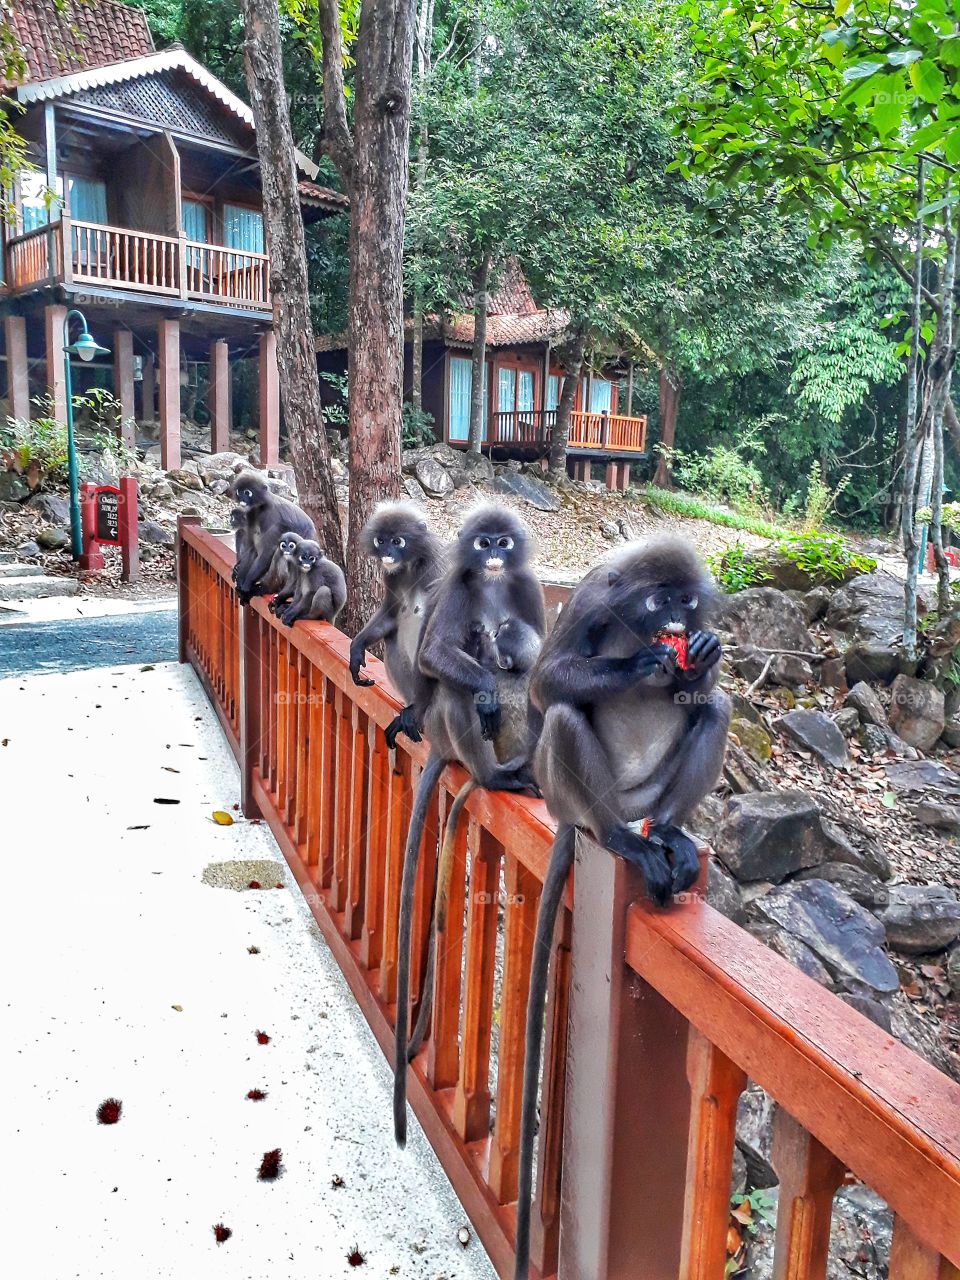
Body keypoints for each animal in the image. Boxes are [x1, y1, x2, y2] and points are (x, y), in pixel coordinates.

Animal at [350, 501, 448, 747]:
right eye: (381, 540)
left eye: (397, 541)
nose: (387, 553)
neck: (413, 565)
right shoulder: (392, 576)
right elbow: (390, 615)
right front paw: (356, 649)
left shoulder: (437, 572)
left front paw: (412, 716)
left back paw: (416, 714)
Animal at [514, 537, 732, 1280]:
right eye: (658, 599)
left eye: (687, 601)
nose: (677, 622)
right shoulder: (590, 599)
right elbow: (544, 686)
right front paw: (638, 666)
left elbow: (704, 691)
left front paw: (705, 652)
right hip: (576, 794)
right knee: (563, 714)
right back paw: (615, 838)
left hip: (649, 790)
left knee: (715, 711)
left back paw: (667, 833)